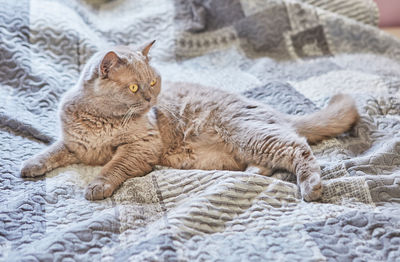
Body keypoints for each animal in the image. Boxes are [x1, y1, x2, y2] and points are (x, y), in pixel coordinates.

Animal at [21, 40, 360, 201]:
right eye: (134, 87)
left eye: (153, 82)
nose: (150, 99)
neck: (101, 118)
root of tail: (275, 112)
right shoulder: (76, 145)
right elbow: (53, 151)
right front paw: (31, 165)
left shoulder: (140, 146)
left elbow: (112, 167)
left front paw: (97, 185)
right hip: (249, 144)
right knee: (275, 158)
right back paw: (251, 172)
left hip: (249, 134)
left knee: (298, 149)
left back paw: (312, 187)